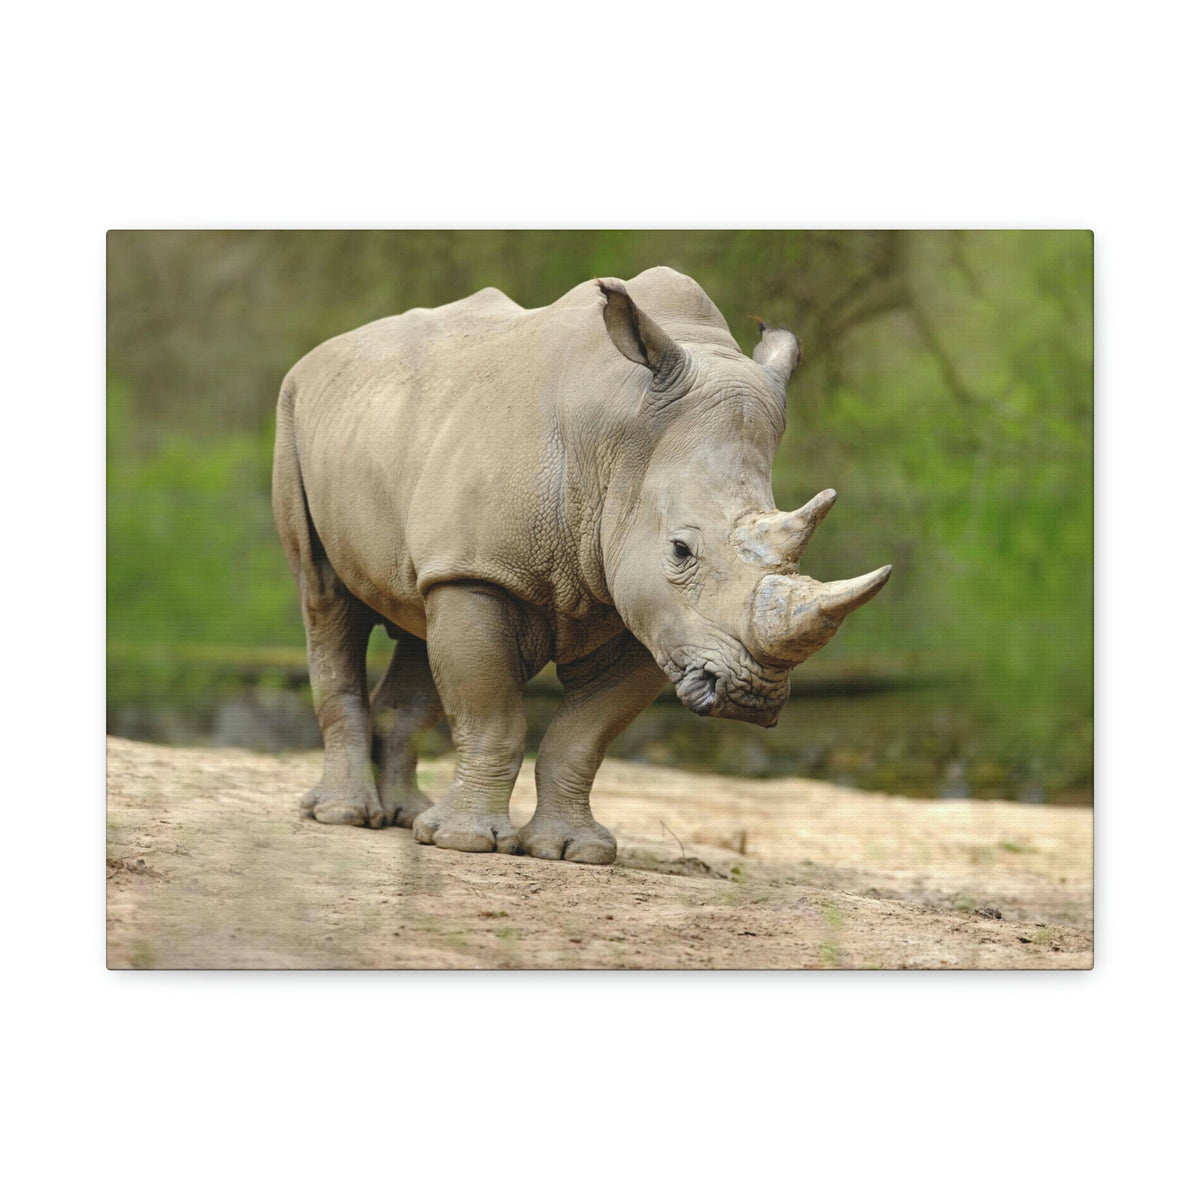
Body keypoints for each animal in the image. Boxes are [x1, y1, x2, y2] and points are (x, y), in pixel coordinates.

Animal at [272, 266, 891, 865]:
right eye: (680, 551)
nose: (751, 694)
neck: (621, 443)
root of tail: (328, 350)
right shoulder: (483, 571)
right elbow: (492, 717)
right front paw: (465, 843)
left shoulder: (653, 615)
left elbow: (583, 737)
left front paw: (573, 851)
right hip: (295, 409)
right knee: (325, 599)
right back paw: (347, 816)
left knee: (418, 617)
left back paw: (405, 816)